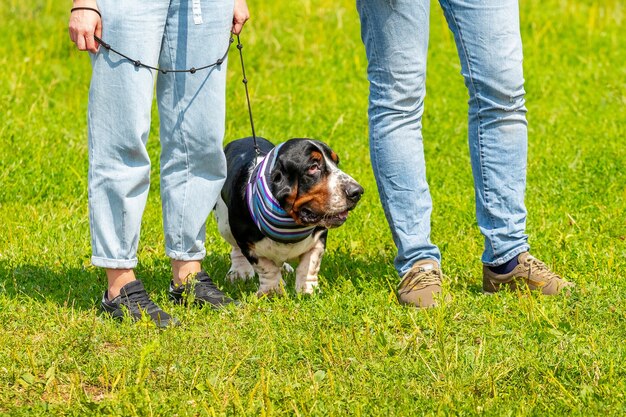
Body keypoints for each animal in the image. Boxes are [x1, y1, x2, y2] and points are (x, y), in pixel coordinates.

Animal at [213, 138, 364, 294]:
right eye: (313, 167)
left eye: (336, 162)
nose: (357, 192)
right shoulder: (248, 244)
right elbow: (267, 269)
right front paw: (273, 291)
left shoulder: (319, 237)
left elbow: (310, 265)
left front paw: (308, 291)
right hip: (225, 226)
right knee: (236, 249)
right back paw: (239, 272)